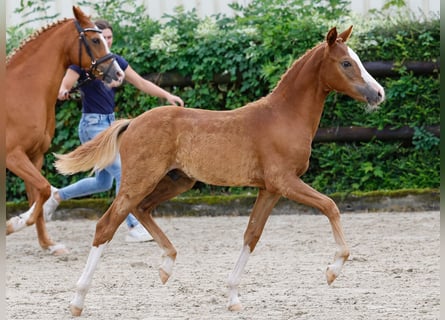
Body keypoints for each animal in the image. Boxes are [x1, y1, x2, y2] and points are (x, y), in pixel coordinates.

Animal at [6, 6, 125, 254]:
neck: (22, 92)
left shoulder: (34, 156)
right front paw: (14, 224)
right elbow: (43, 189)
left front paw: (48, 244)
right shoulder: (13, 155)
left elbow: (38, 194)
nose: (119, 74)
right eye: (95, 40)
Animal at [55, 25, 384, 316]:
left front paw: (233, 297)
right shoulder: (286, 182)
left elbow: (252, 234)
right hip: (141, 179)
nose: (379, 93)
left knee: (142, 208)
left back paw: (166, 266)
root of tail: (133, 122)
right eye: (346, 63)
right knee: (107, 225)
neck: (283, 117)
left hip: (178, 181)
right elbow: (330, 206)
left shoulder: (270, 189)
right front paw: (332, 270)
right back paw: (77, 301)